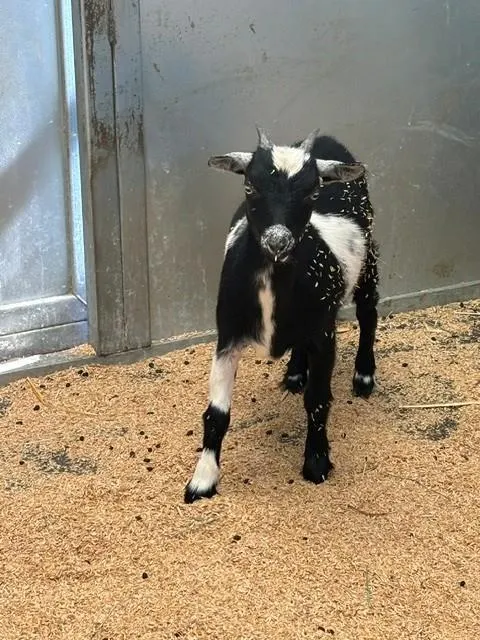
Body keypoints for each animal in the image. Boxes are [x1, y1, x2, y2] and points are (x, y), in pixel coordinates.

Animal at [184, 126, 379, 503]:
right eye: (249, 186)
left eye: (313, 191)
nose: (278, 241)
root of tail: (328, 140)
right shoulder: (227, 336)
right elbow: (216, 414)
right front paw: (202, 479)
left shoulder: (323, 335)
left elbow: (317, 401)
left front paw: (316, 462)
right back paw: (294, 373)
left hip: (369, 261)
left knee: (369, 312)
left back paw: (364, 376)